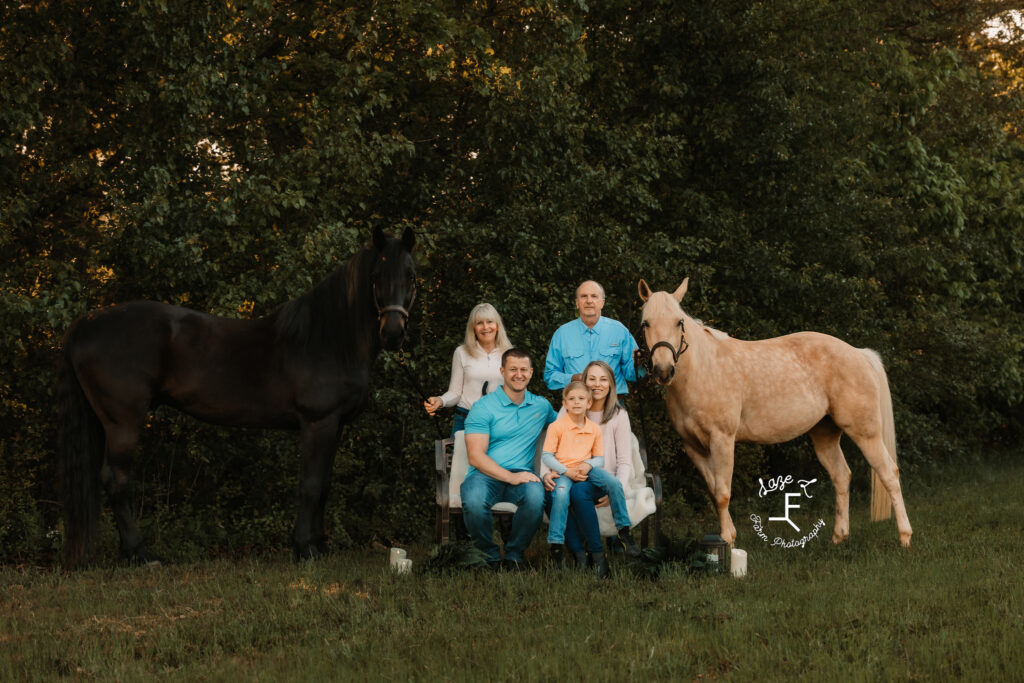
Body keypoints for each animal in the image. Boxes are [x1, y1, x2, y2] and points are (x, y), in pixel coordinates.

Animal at [58, 227, 415, 565]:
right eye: (376, 276)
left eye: (411, 275)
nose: (393, 333)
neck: (326, 339)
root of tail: (85, 322)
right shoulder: (318, 423)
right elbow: (311, 485)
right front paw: (305, 549)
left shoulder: (335, 425)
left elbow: (324, 486)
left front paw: (319, 547)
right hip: (123, 422)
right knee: (116, 480)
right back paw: (141, 554)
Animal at [638, 278, 913, 548]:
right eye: (646, 323)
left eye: (679, 322)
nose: (664, 371)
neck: (702, 370)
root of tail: (860, 354)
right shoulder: (693, 446)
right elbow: (714, 492)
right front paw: (728, 538)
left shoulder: (722, 440)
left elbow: (723, 493)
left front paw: (728, 542)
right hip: (825, 435)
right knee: (841, 476)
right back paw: (839, 537)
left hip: (866, 433)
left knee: (889, 473)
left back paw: (904, 537)